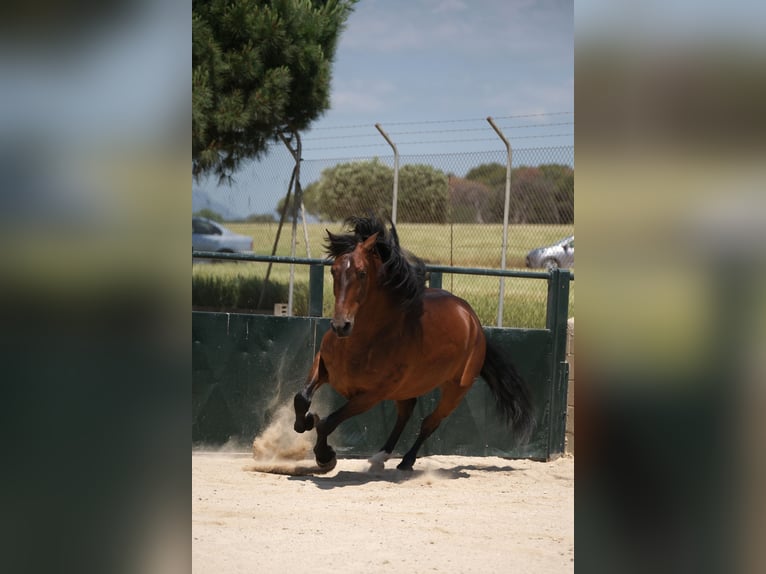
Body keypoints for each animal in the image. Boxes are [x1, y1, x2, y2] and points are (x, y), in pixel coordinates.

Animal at [292, 216, 536, 472]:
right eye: (334, 270)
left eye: (361, 273)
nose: (341, 326)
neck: (362, 342)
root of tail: (473, 321)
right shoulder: (323, 363)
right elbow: (301, 398)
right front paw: (304, 422)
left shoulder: (370, 396)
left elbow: (328, 423)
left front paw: (325, 457)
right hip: (406, 388)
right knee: (406, 412)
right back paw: (380, 456)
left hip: (455, 390)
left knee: (429, 422)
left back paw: (406, 461)